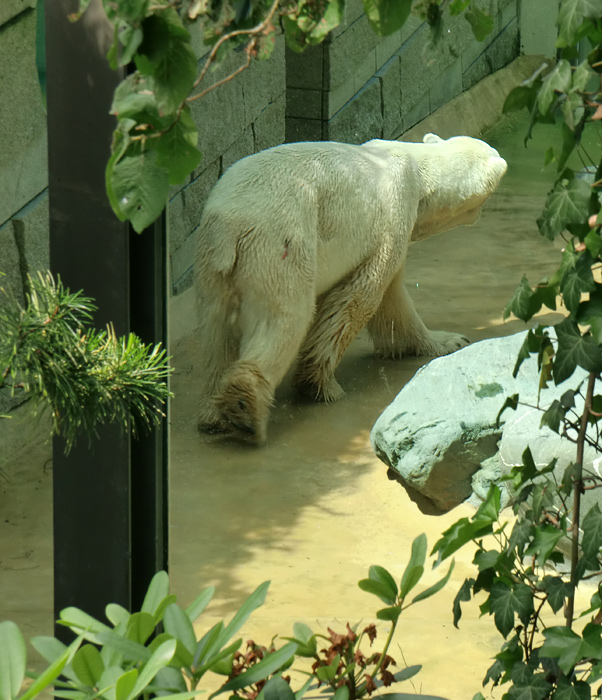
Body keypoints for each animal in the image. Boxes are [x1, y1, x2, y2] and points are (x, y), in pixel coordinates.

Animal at [195, 131, 504, 442]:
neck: (418, 171)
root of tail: (231, 228)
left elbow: (393, 301)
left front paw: (446, 341)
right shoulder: (393, 213)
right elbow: (360, 296)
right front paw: (320, 386)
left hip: (214, 264)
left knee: (217, 332)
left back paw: (215, 414)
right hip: (283, 242)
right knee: (284, 318)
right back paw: (243, 405)